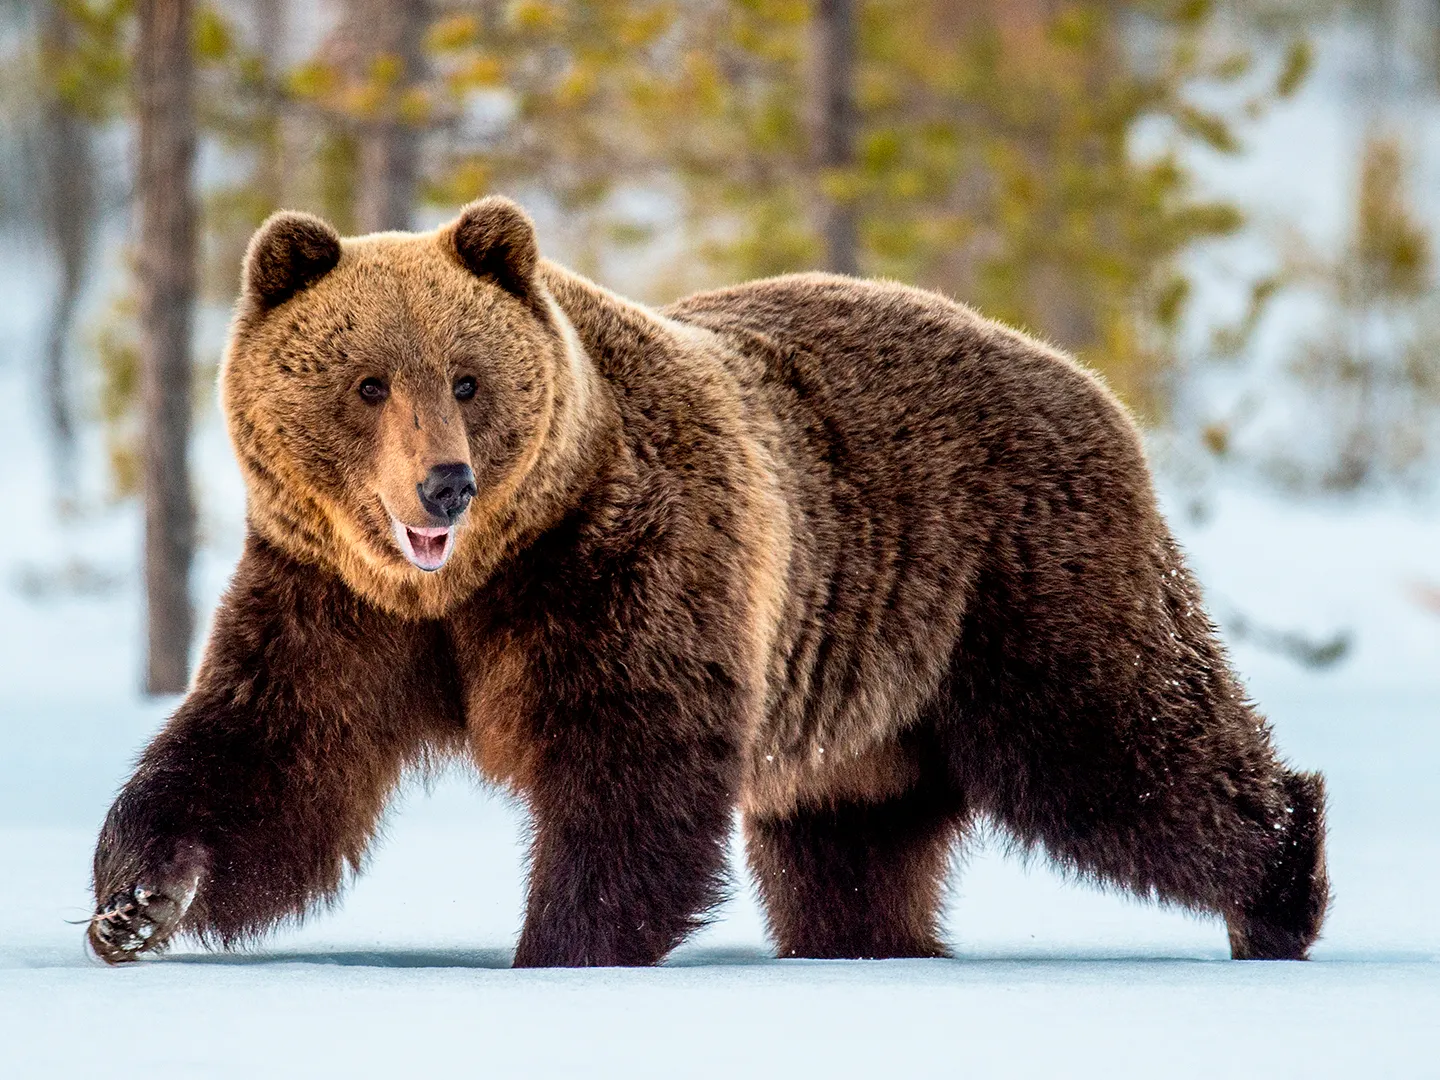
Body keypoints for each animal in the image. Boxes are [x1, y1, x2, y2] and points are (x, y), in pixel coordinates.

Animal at [87, 198, 1324, 967]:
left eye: (470, 379)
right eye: (368, 382)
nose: (444, 484)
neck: (469, 582)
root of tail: (1086, 378)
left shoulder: (620, 562)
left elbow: (631, 767)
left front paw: (557, 945)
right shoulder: (332, 596)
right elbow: (271, 756)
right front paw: (135, 901)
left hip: (1014, 583)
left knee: (1125, 747)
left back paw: (1279, 884)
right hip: (871, 702)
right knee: (852, 845)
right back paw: (876, 941)